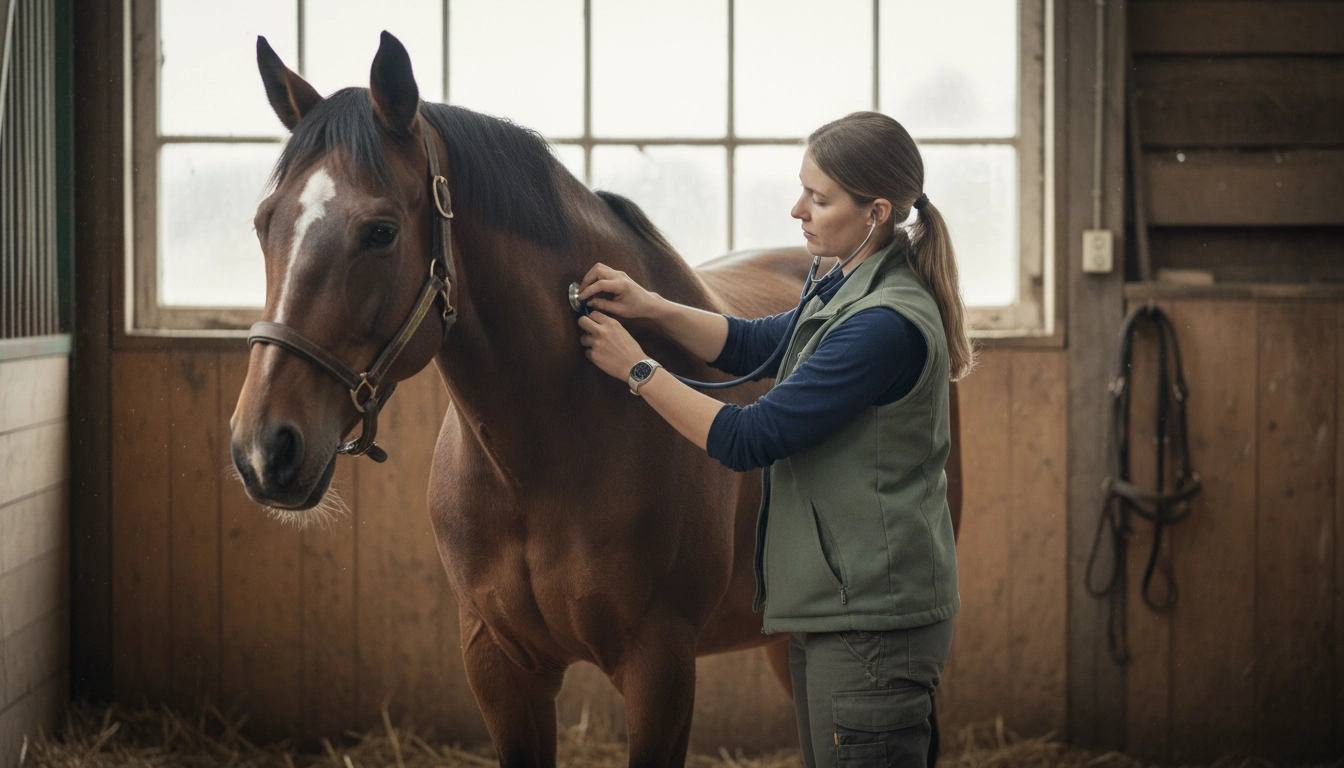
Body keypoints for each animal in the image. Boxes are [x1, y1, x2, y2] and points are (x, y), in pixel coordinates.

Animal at [229, 31, 960, 768]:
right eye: (263, 222)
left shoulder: (660, 666)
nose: (264, 450)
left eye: (380, 231)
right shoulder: (498, 663)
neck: (544, 456)